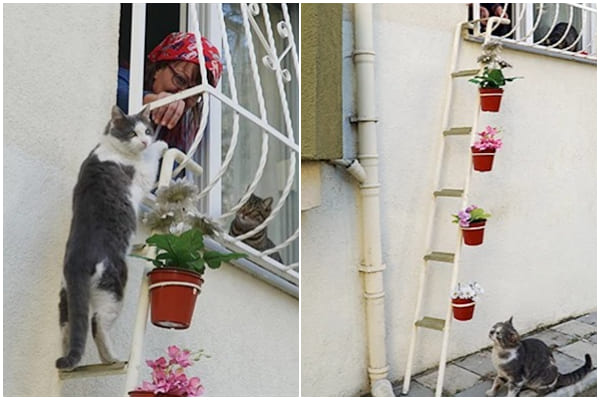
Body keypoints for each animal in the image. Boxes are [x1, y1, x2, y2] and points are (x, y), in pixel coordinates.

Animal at [56, 105, 166, 368]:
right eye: (133, 133)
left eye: (147, 130)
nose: (145, 140)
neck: (111, 146)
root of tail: (77, 262)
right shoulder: (142, 173)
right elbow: (152, 160)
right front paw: (162, 145)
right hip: (113, 287)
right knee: (97, 323)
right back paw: (112, 359)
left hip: (66, 298)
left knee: (69, 327)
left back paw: (69, 363)